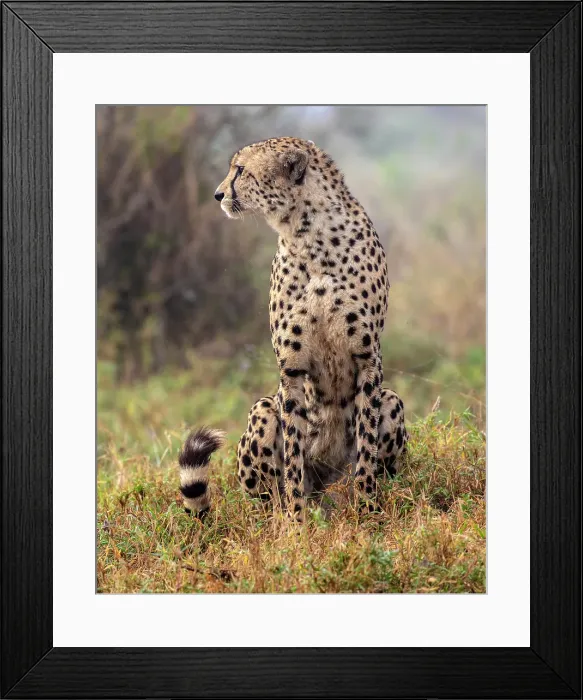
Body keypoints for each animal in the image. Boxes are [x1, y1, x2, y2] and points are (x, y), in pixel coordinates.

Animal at [179, 137, 408, 522]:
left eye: (240, 170)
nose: (217, 194)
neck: (308, 234)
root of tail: (328, 488)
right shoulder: (291, 366)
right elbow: (294, 455)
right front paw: (296, 523)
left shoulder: (367, 358)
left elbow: (366, 446)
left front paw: (367, 510)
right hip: (262, 410)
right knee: (268, 494)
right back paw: (281, 515)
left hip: (391, 402)